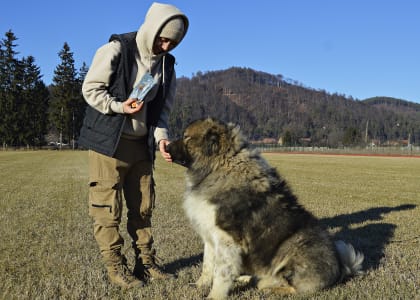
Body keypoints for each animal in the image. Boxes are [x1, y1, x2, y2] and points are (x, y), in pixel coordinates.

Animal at [166, 118, 362, 298]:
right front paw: (200, 285)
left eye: (186, 137)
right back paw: (247, 278)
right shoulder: (210, 235)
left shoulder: (227, 239)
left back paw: (266, 285)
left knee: (291, 286)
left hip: (293, 246)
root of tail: (342, 268)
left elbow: (221, 272)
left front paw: (214, 296)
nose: (165, 147)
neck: (219, 167)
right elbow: (207, 265)